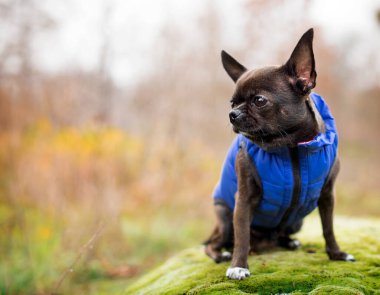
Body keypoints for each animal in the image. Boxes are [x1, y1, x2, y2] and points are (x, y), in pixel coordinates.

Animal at [203, 28, 354, 280]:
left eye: (259, 100)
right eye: (232, 103)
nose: (232, 114)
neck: (291, 146)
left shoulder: (327, 195)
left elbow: (328, 227)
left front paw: (337, 254)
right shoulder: (243, 199)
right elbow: (241, 235)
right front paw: (238, 265)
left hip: (296, 223)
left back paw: (289, 241)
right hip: (224, 217)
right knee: (213, 244)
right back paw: (221, 254)